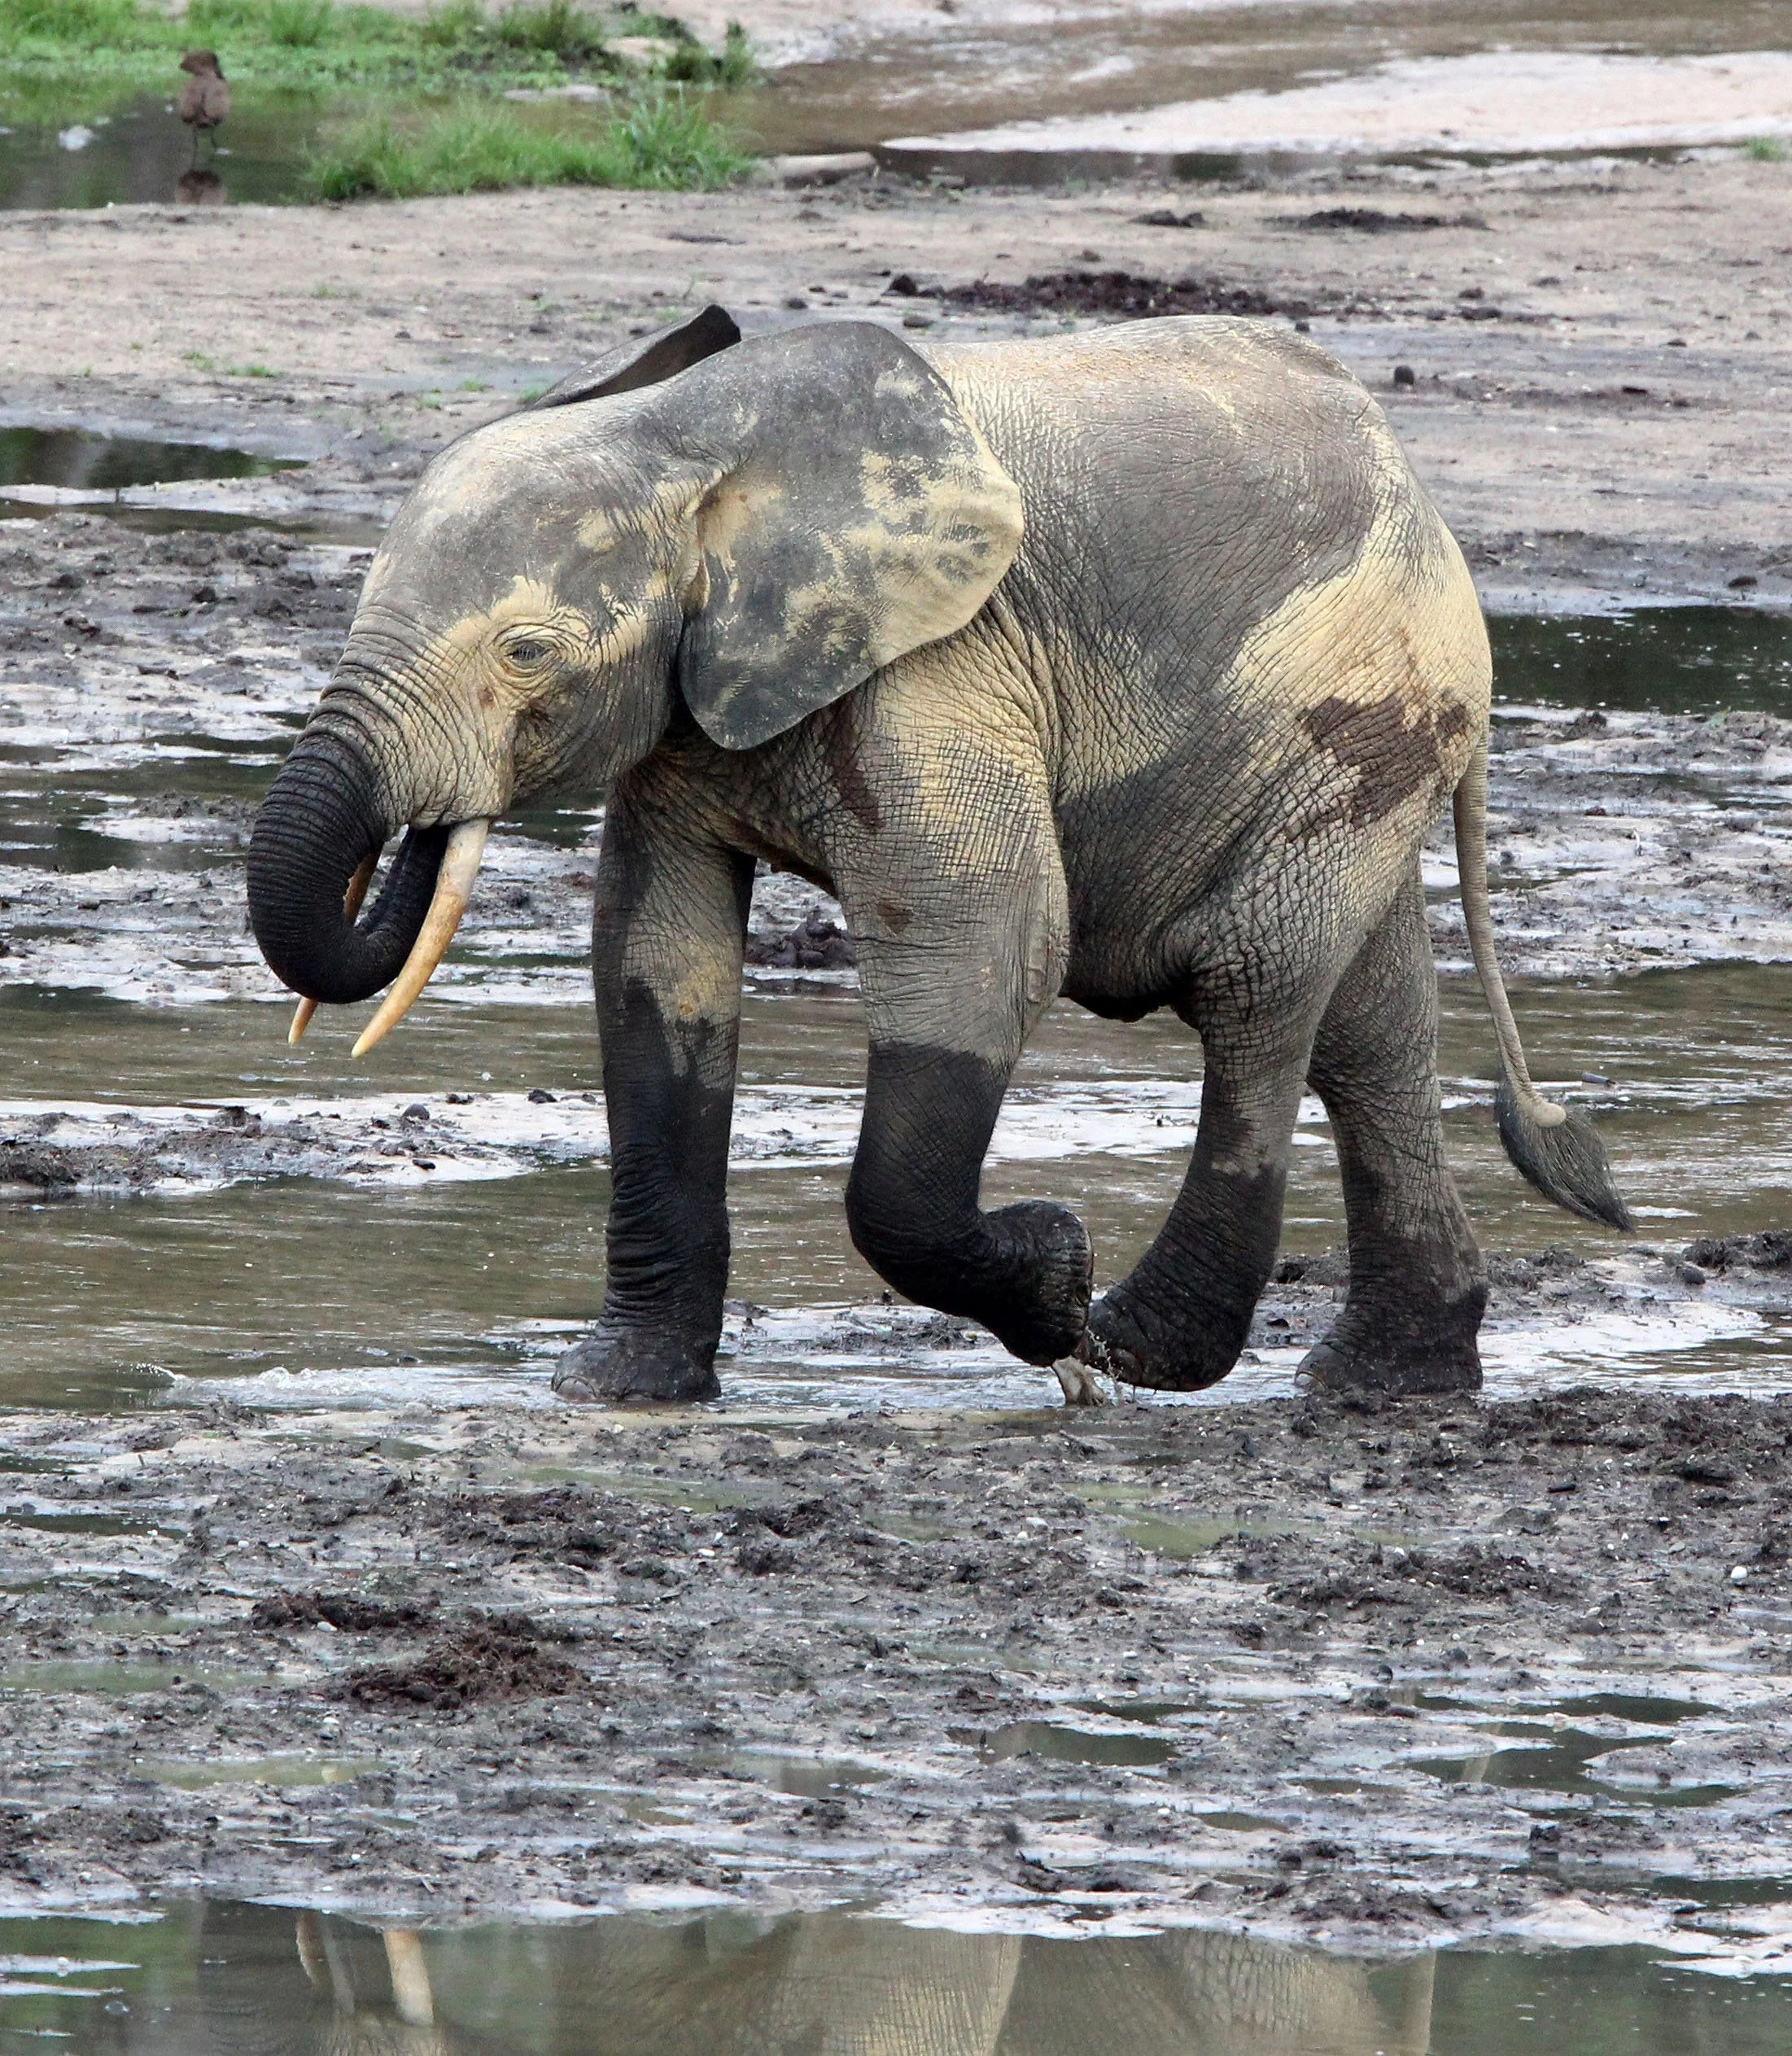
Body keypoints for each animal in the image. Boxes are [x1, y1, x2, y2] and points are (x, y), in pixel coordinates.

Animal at [247, 303, 1629, 1407]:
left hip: (1357, 700)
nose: (423, 825)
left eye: (525, 653)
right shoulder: (692, 711)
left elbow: (987, 938)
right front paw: (613, 1393)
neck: (683, 438)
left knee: (1255, 984)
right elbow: (655, 964)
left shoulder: (942, 663)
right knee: (1369, 1027)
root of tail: (1422, 495)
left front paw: (1056, 1292)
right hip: (1368, 741)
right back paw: (1381, 1385)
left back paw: (1139, 1345)